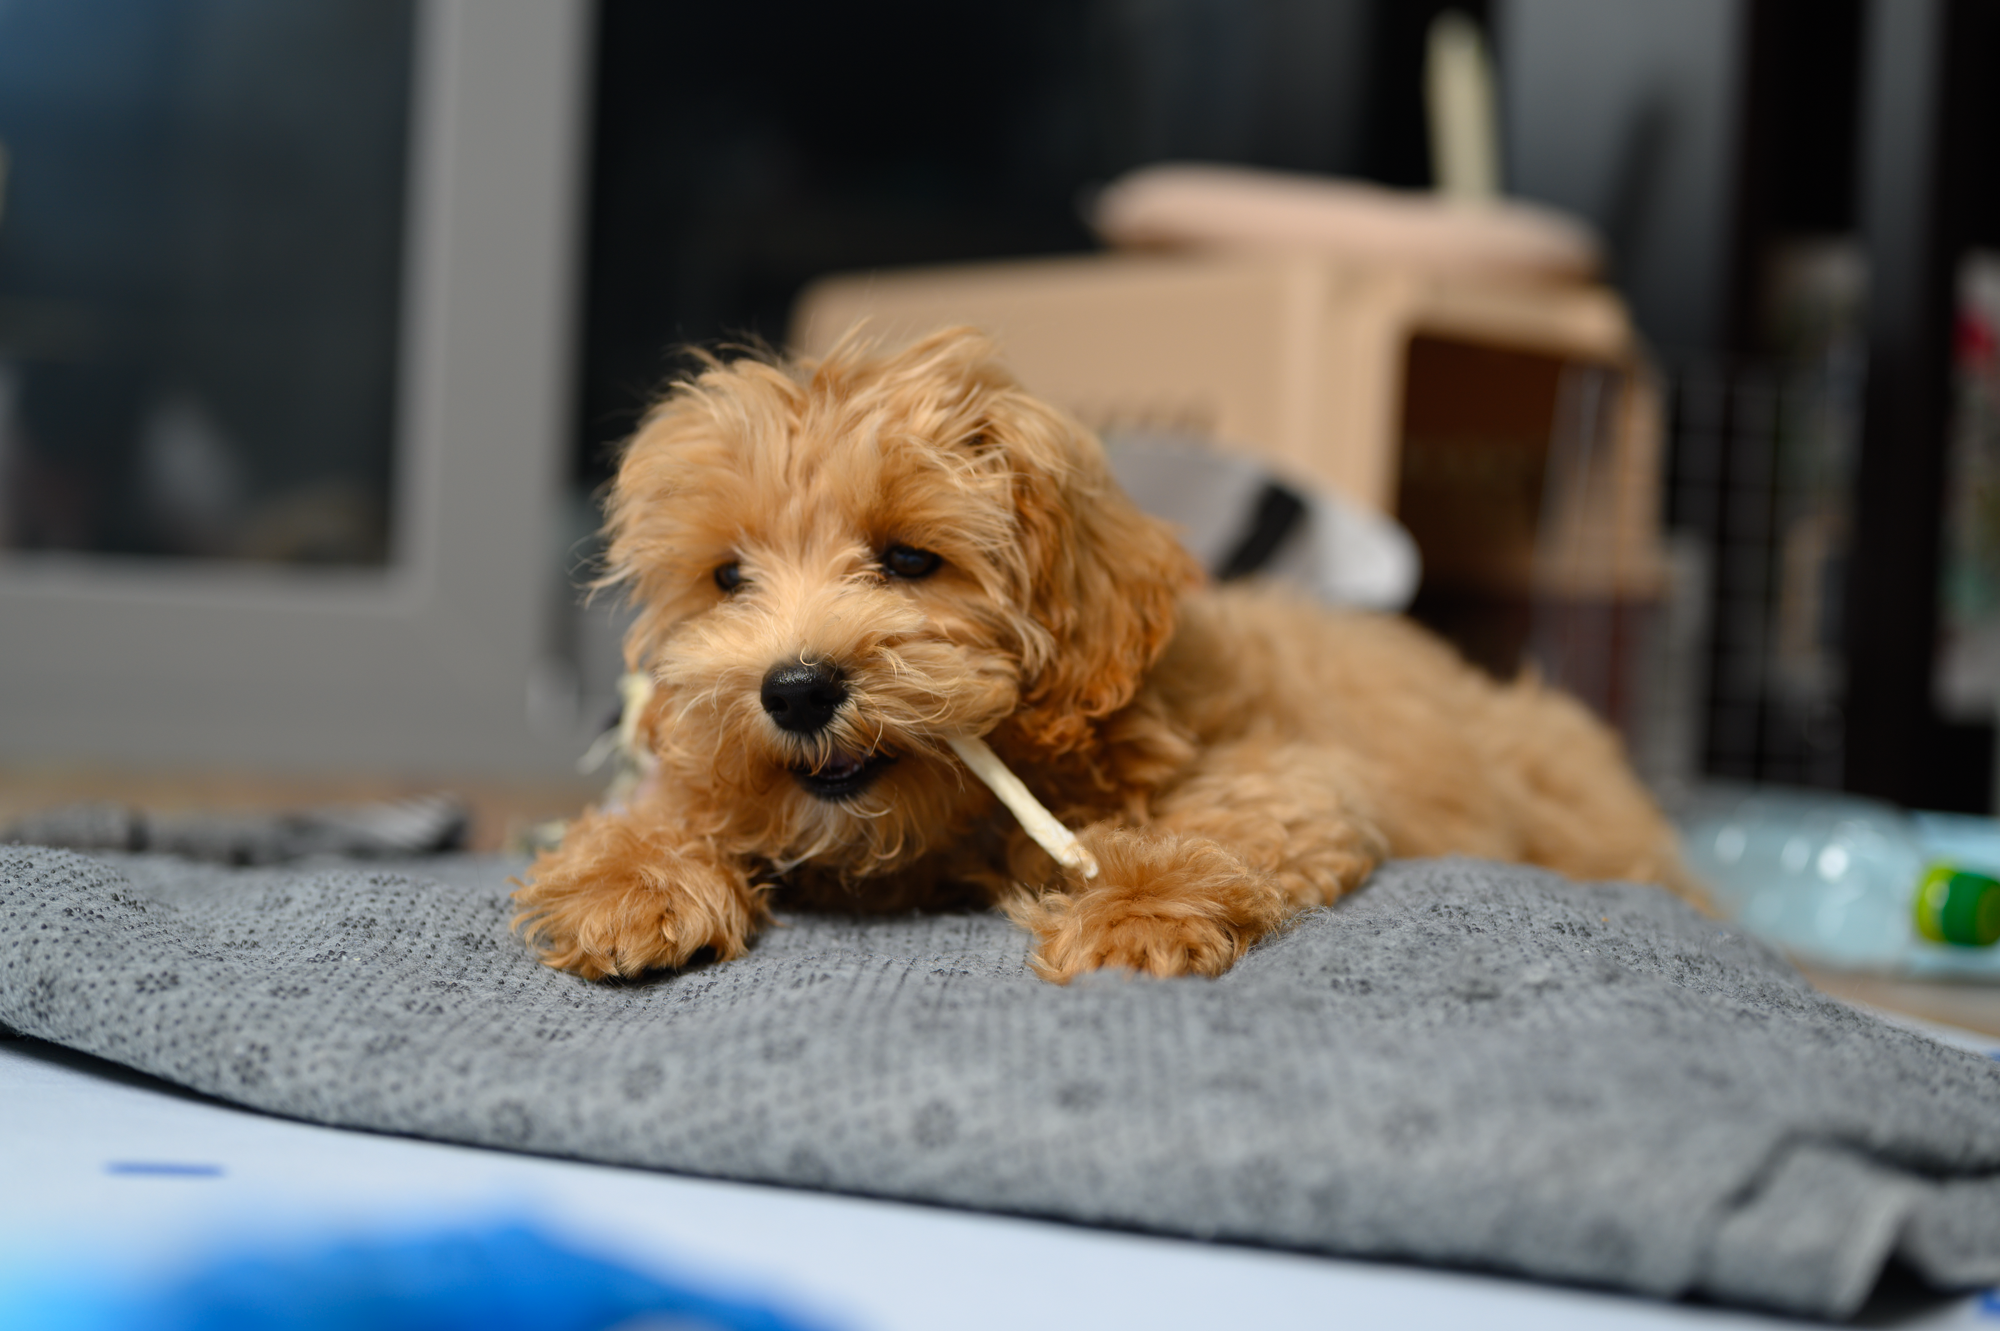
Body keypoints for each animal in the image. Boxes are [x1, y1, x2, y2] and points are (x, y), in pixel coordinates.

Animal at [515, 327, 1697, 983]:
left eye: (909, 559)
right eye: (727, 578)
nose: (795, 688)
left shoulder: (1287, 767)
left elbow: (1231, 815)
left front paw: (1135, 910)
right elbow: (686, 798)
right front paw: (626, 876)